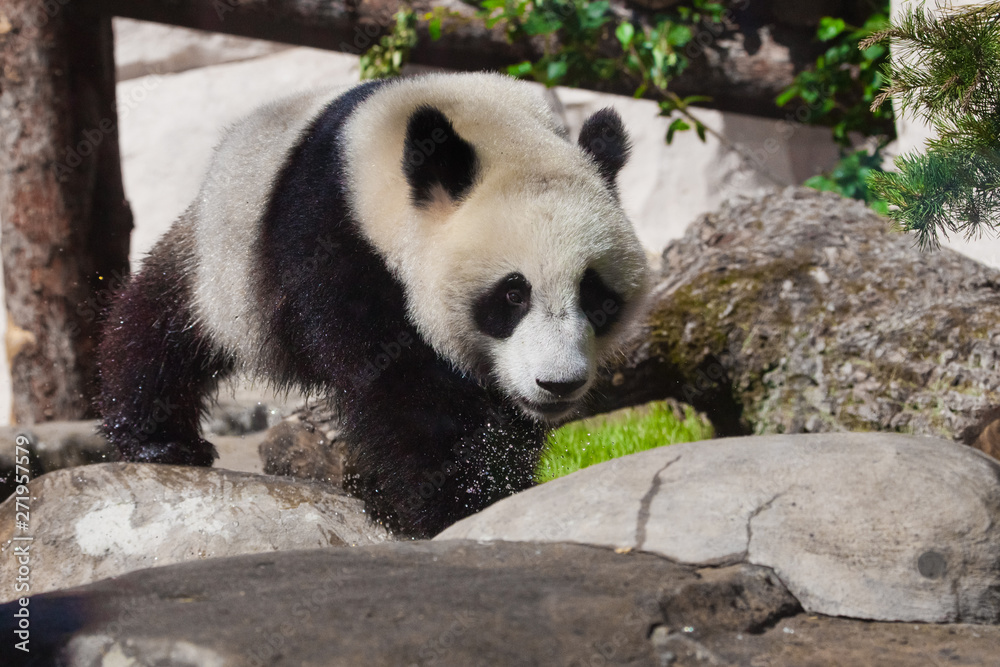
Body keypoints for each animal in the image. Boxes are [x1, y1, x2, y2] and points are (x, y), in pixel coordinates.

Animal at [98, 72, 649, 538]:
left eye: (594, 295)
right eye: (513, 294)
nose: (559, 384)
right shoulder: (336, 241)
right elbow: (401, 387)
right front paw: (454, 502)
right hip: (223, 260)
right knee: (161, 327)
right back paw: (159, 440)